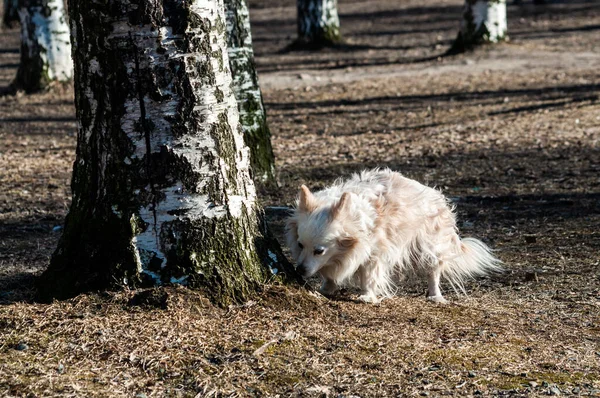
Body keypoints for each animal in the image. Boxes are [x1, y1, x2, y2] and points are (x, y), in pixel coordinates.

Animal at [284, 167, 500, 302]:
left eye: (319, 251)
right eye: (300, 245)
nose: (299, 270)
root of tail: (436, 195)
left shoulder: (375, 251)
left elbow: (370, 274)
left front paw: (368, 296)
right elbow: (330, 274)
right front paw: (327, 287)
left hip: (430, 245)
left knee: (433, 270)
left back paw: (435, 295)